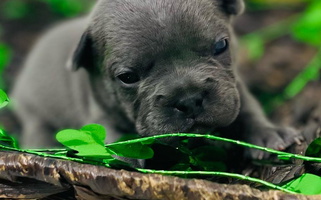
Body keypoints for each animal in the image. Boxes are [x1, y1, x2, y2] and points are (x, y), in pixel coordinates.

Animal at [10, 0, 300, 160]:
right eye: (127, 77)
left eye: (221, 46)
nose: (189, 100)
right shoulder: (100, 111)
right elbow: (111, 133)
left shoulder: (234, 88)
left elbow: (248, 109)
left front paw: (269, 133)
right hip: (34, 113)